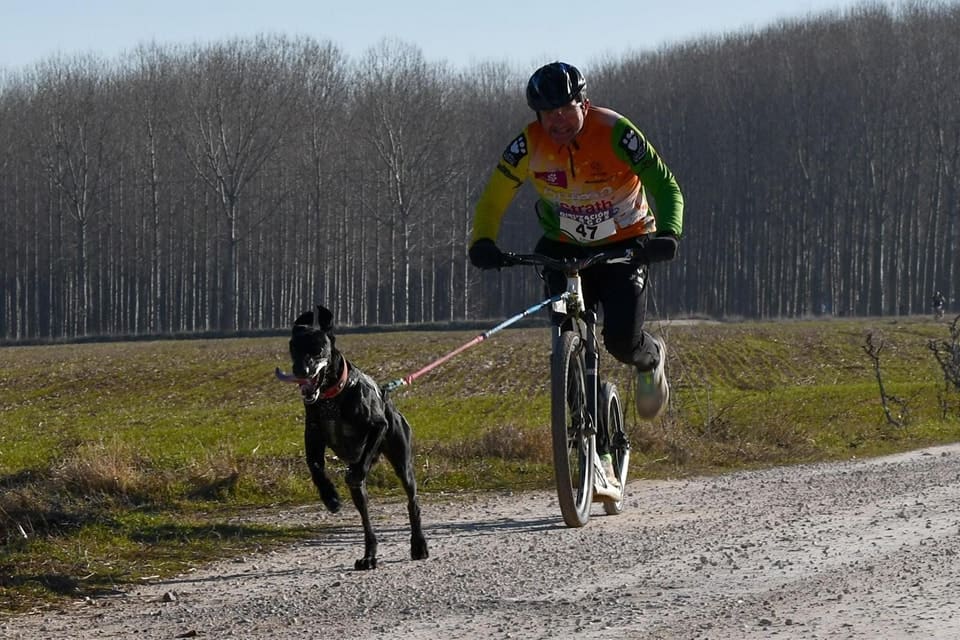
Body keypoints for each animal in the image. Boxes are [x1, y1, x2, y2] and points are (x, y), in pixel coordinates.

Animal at [276, 304, 430, 568]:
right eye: (294, 347)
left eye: (318, 349)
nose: (301, 370)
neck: (331, 397)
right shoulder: (313, 438)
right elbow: (315, 467)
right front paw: (330, 497)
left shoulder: (377, 426)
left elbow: (364, 454)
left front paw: (355, 472)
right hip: (363, 496)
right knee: (367, 521)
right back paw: (369, 555)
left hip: (402, 460)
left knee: (412, 502)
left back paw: (418, 544)